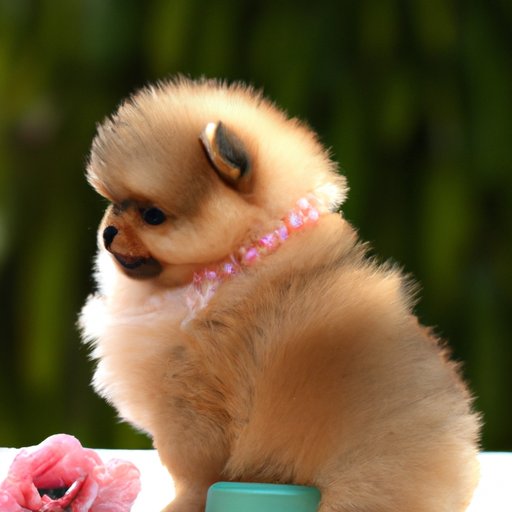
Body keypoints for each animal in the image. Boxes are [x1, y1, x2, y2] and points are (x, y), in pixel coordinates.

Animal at [80, 77, 480, 512]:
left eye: (152, 215)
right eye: (112, 204)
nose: (108, 232)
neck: (236, 259)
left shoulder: (191, 403)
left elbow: (194, 474)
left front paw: (180, 504)